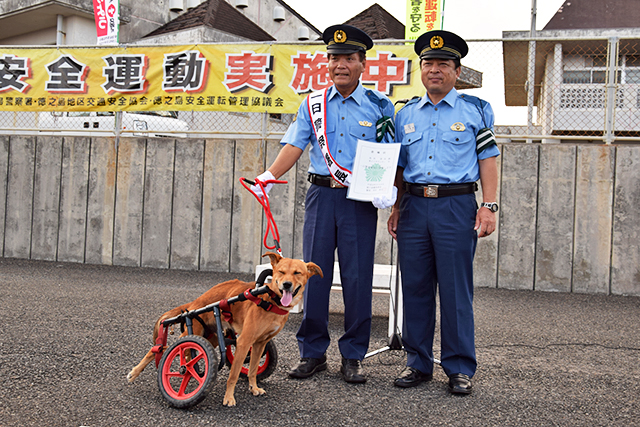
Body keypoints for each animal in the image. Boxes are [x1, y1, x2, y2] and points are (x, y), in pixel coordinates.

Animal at [127, 254, 322, 408]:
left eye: (297, 273)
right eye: (281, 272)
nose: (287, 285)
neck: (270, 298)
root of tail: (195, 303)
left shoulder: (260, 343)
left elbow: (252, 369)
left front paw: (253, 387)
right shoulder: (244, 341)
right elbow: (233, 374)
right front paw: (229, 398)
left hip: (211, 336)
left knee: (184, 351)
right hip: (194, 331)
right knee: (162, 348)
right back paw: (137, 371)